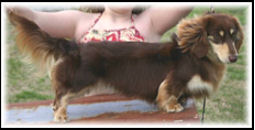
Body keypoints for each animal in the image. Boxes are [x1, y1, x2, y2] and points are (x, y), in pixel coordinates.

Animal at [7, 10, 243, 122]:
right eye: (217, 36)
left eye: (233, 36)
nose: (234, 58)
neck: (197, 56)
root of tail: (74, 47)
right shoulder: (176, 78)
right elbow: (168, 91)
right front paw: (172, 106)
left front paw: (181, 102)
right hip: (79, 81)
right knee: (61, 97)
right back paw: (60, 116)